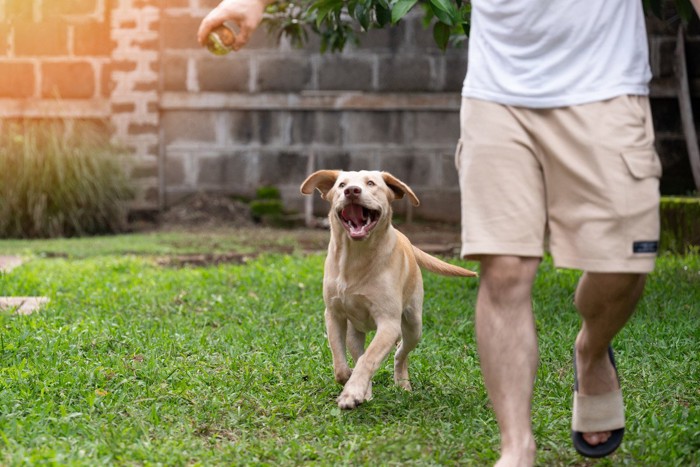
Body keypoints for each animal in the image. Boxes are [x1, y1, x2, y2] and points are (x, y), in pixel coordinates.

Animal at [300, 169, 476, 410]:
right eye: (341, 185)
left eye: (371, 183)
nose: (351, 191)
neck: (355, 256)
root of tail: (405, 238)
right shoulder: (334, 314)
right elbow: (341, 364)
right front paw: (353, 384)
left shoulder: (389, 323)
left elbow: (369, 358)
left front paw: (351, 392)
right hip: (355, 332)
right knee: (360, 352)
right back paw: (366, 391)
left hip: (413, 326)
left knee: (399, 353)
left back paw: (401, 383)